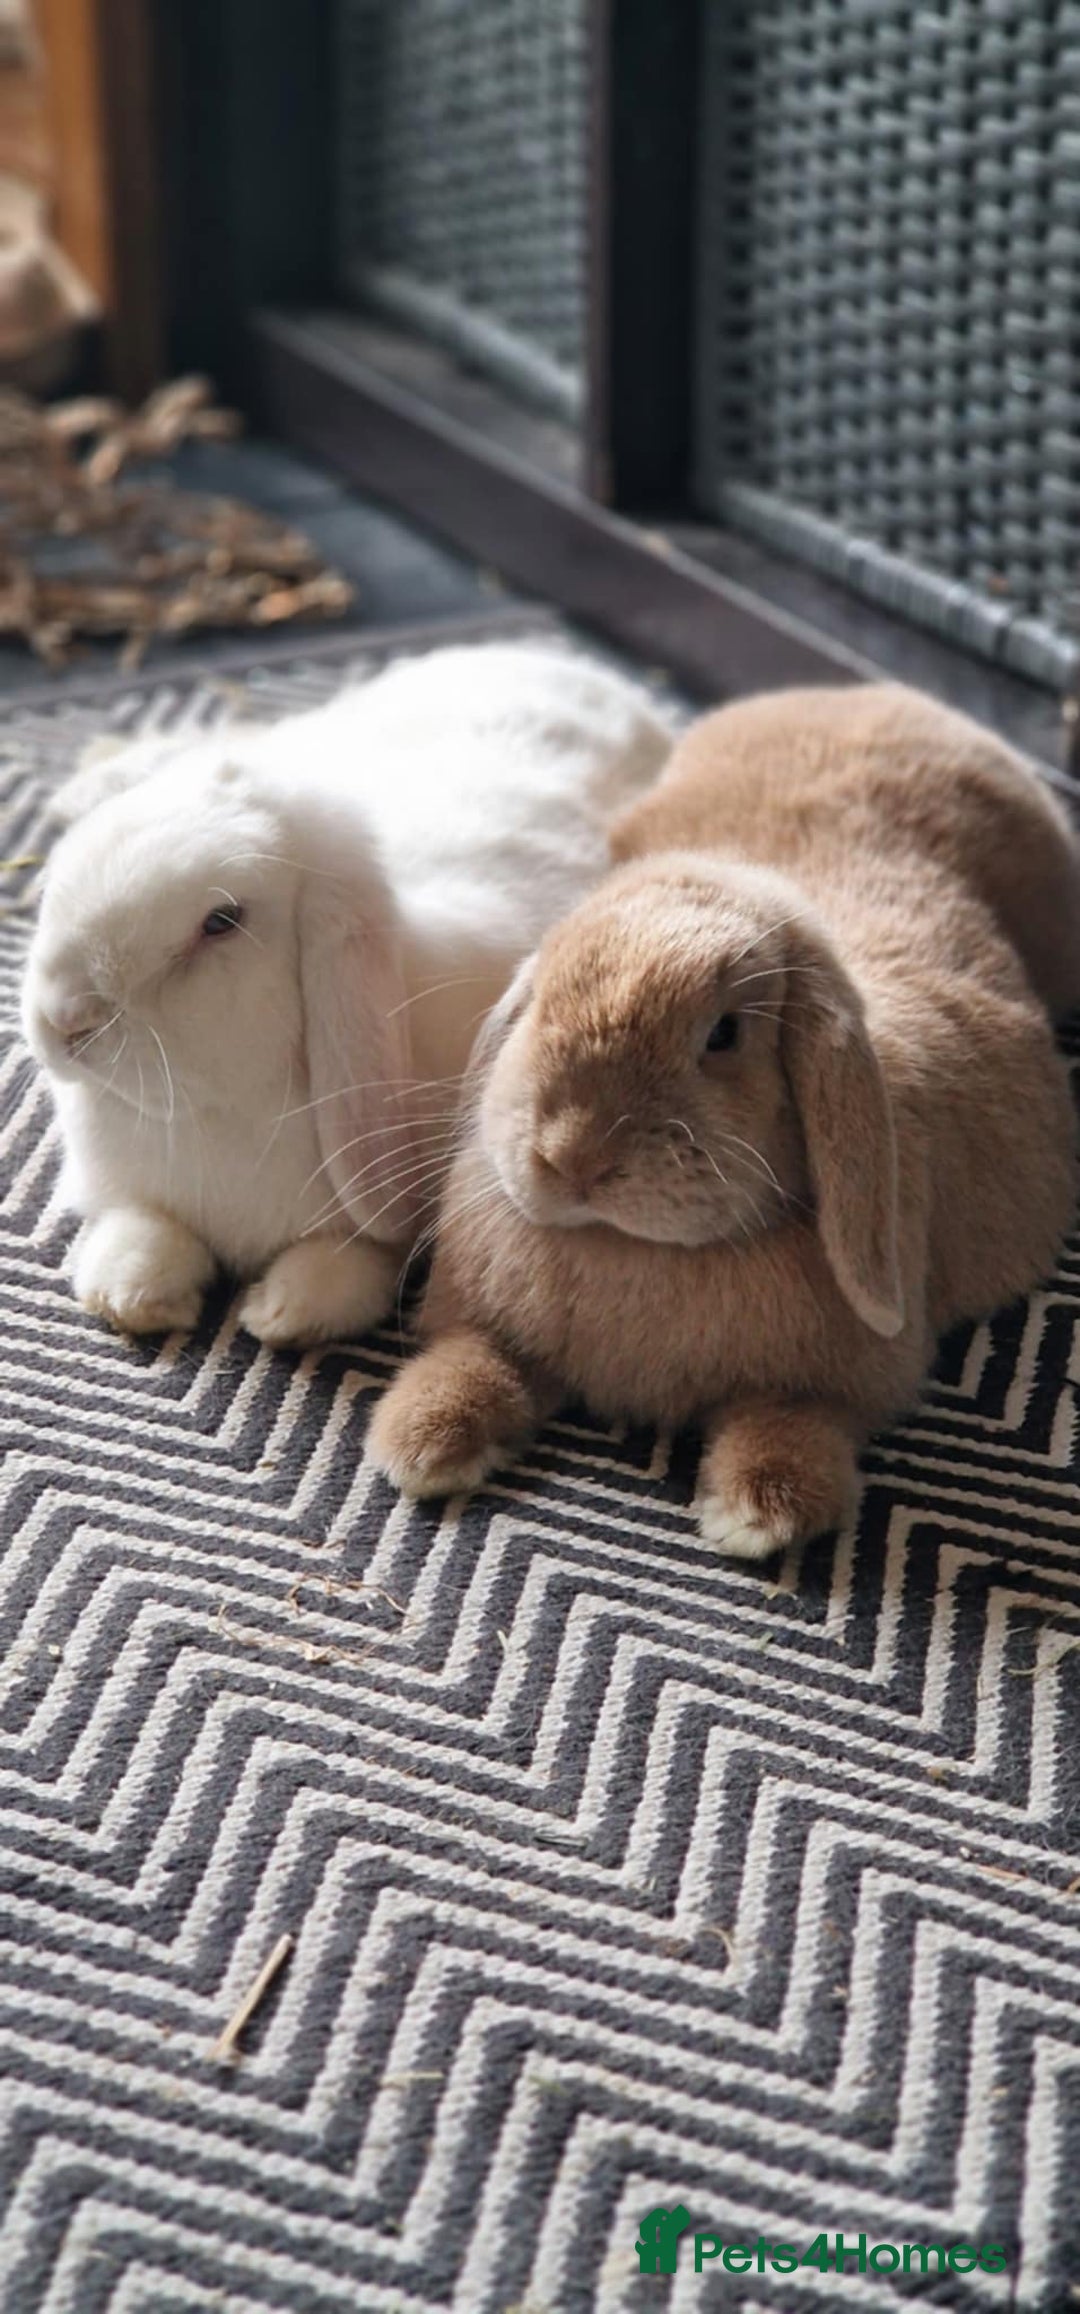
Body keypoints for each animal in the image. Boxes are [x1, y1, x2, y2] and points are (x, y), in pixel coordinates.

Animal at [21, 641, 673, 1346]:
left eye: (221, 922)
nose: (63, 1020)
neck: (214, 1113)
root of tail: (568, 666)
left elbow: (351, 1264)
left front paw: (277, 1312)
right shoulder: (132, 1191)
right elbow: (140, 1228)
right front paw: (134, 1296)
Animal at [368, 681, 1080, 1558]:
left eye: (725, 1034)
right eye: (539, 1004)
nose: (572, 1156)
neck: (634, 1250)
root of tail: (873, 692)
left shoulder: (826, 1389)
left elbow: (793, 1424)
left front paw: (759, 1513)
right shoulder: (488, 1330)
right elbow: (471, 1361)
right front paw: (422, 1442)